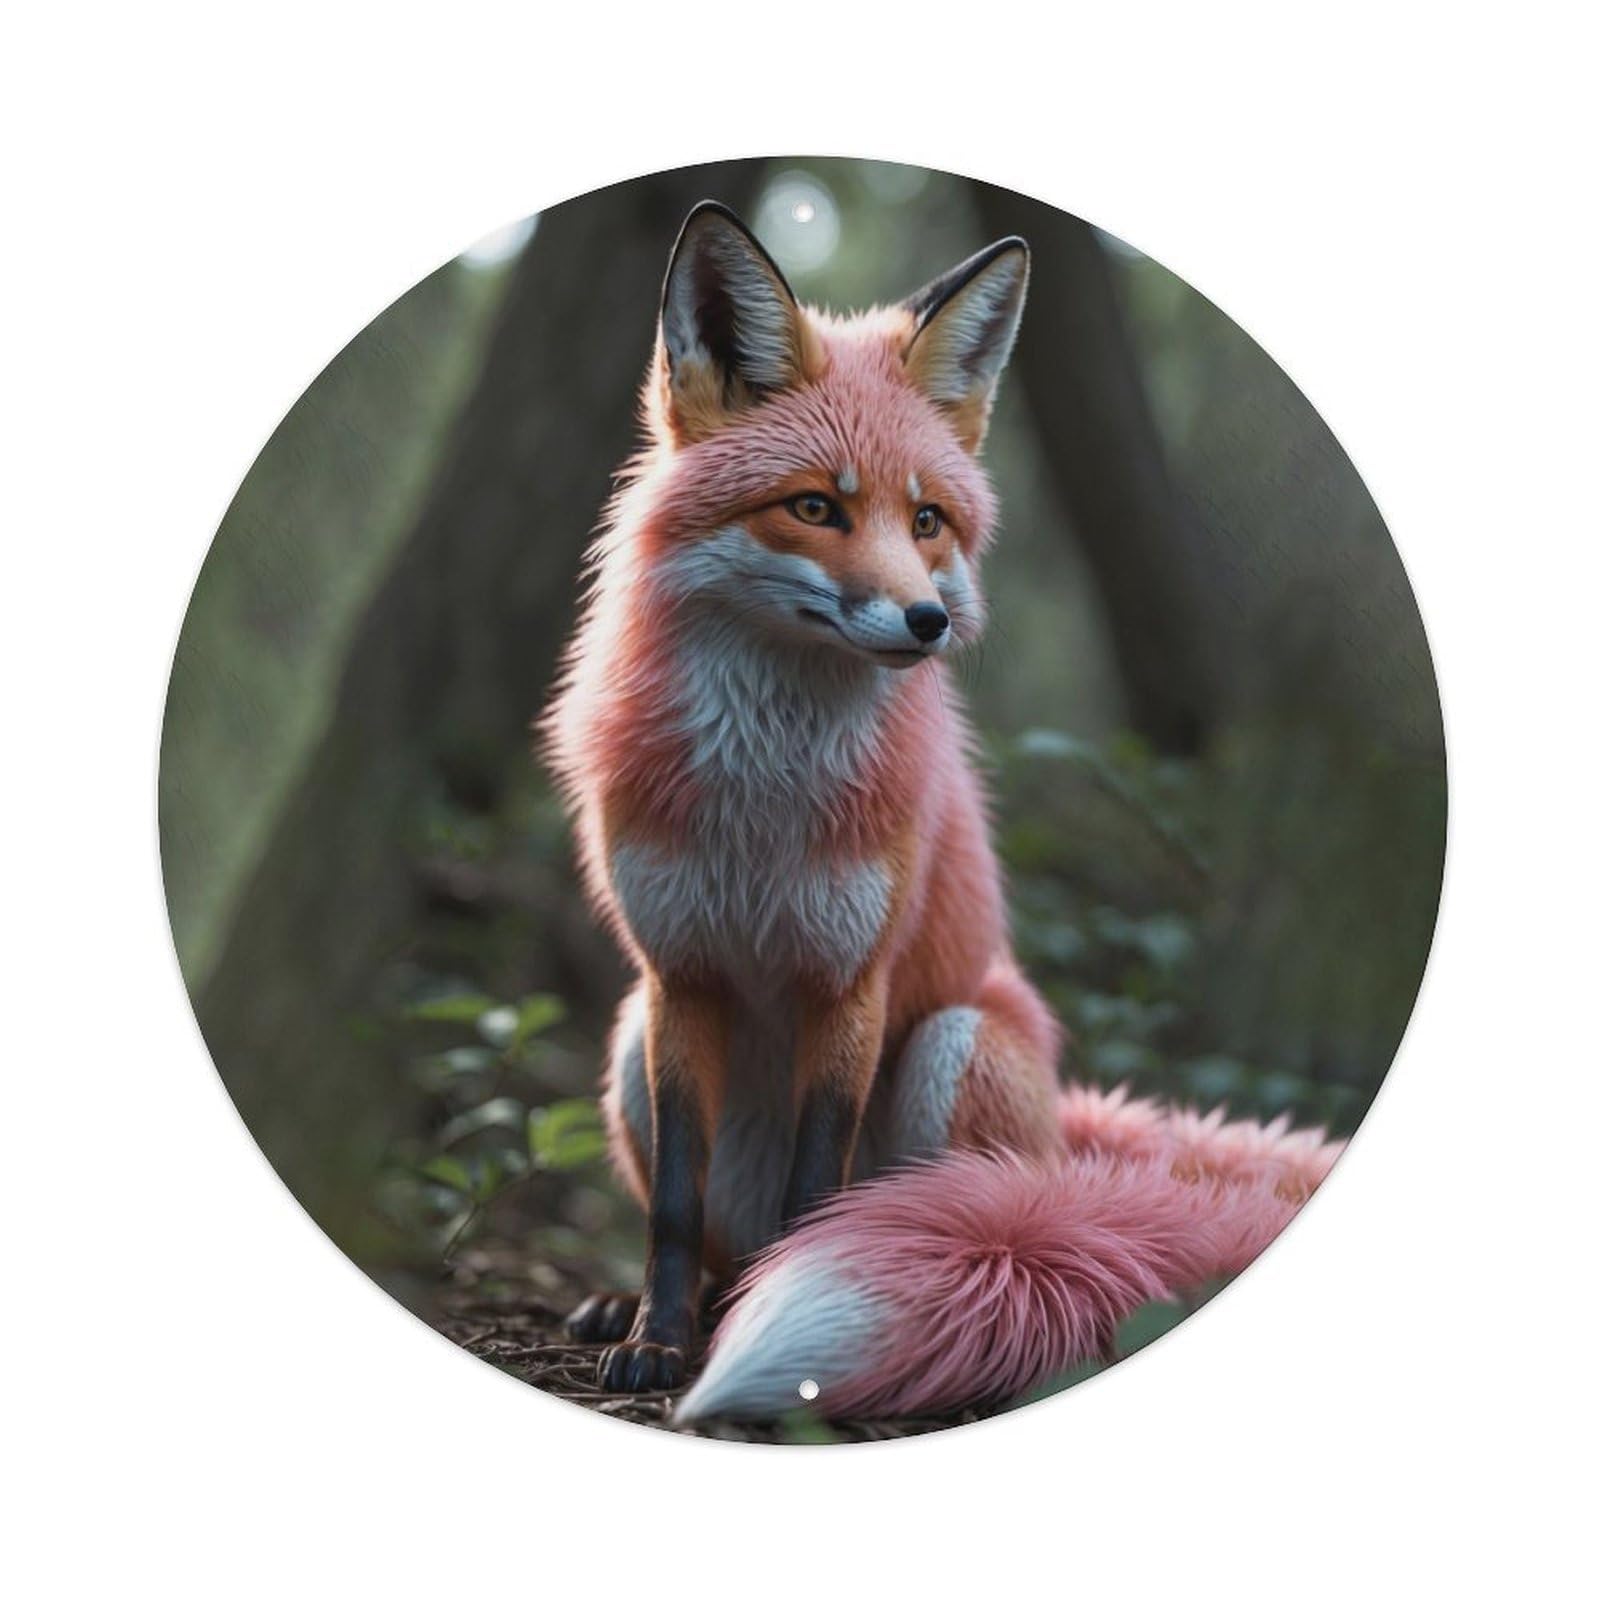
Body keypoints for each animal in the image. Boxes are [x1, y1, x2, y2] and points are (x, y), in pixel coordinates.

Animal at [543, 200, 1341, 1423]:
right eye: (815, 507)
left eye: (926, 519)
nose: (926, 621)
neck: (761, 805)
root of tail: (1066, 1124)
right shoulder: (680, 973)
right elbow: (672, 1206)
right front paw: (656, 1341)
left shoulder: (854, 982)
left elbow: (815, 1196)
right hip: (630, 1037)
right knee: (716, 1239)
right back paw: (653, 1306)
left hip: (948, 1049)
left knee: (930, 1230)